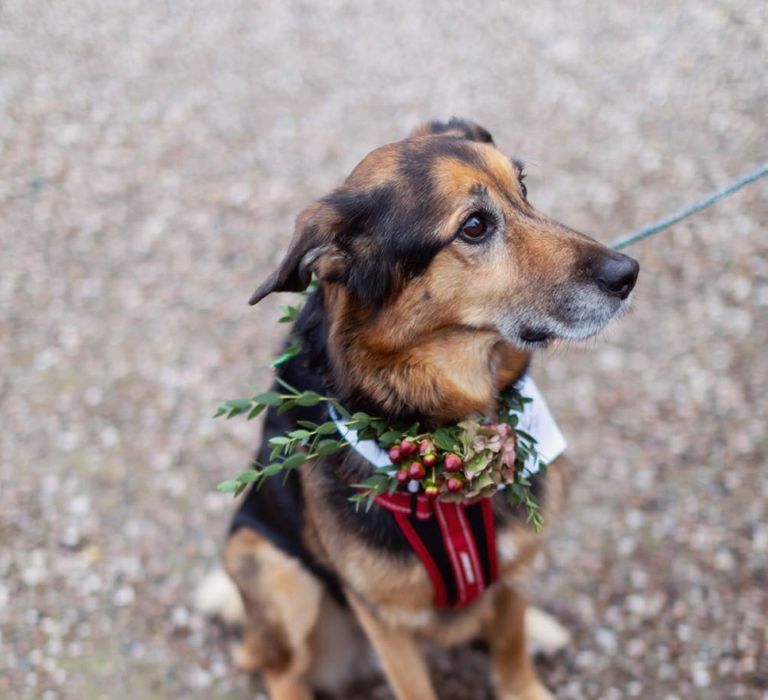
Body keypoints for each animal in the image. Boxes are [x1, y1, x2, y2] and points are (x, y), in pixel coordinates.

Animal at [202, 117, 636, 696]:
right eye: (474, 226)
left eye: (523, 188)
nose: (629, 272)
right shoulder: (385, 621)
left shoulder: (515, 565)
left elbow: (510, 646)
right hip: (269, 564)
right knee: (278, 667)